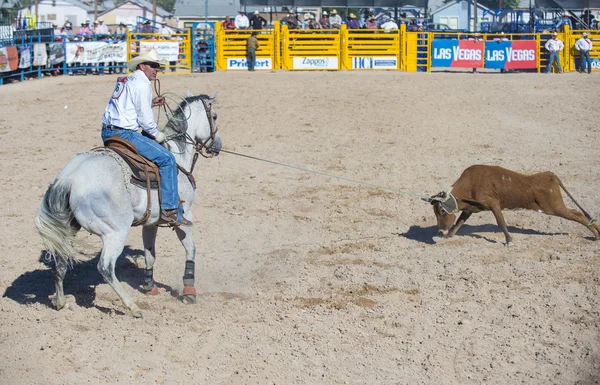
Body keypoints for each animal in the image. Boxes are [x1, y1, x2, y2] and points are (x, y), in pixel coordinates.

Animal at [33, 94, 220, 318]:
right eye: (215, 116)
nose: (217, 145)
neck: (176, 154)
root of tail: (68, 178)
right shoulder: (184, 217)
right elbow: (190, 248)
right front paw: (189, 290)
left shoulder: (151, 222)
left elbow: (150, 254)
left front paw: (149, 286)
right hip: (115, 232)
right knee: (105, 268)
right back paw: (132, 306)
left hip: (69, 229)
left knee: (59, 264)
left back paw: (61, 302)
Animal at [428, 164, 596, 243]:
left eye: (442, 211)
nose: (440, 231)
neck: (471, 184)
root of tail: (550, 176)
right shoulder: (469, 209)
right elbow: (459, 222)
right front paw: (449, 235)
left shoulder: (494, 204)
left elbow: (501, 222)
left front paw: (509, 240)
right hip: (556, 207)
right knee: (577, 212)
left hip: (554, 207)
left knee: (579, 216)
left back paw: (596, 235)